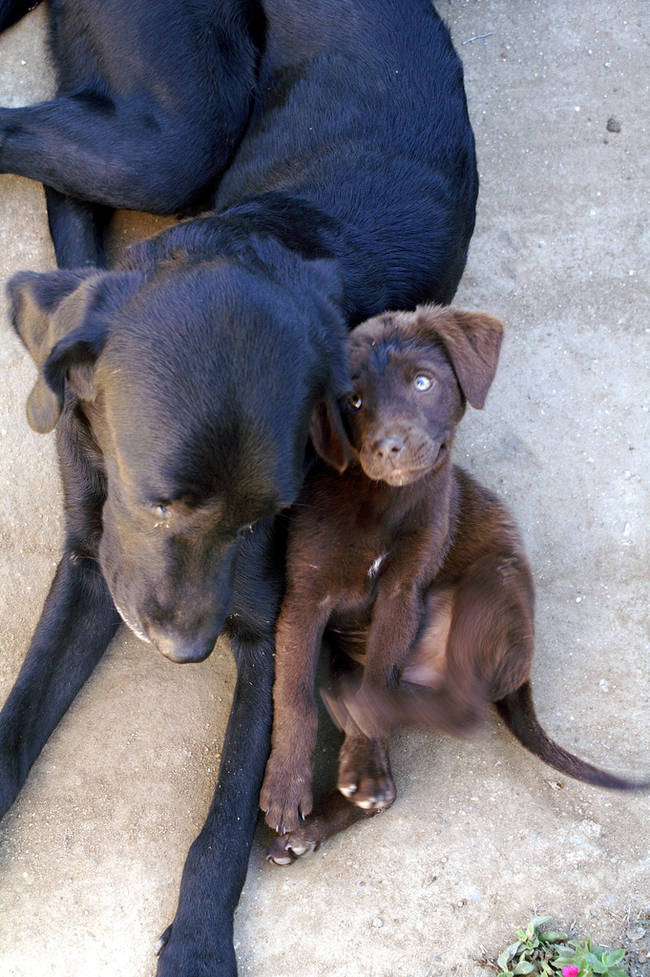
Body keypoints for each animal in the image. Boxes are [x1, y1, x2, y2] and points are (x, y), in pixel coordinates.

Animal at [0, 3, 476, 972]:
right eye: (159, 500)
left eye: (270, 514)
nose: (185, 652)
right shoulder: (91, 561)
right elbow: (20, 713)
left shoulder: (265, 626)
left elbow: (224, 821)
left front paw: (195, 942)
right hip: (178, 137)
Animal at [260, 304, 644, 848]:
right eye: (354, 400)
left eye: (423, 382)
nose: (390, 446)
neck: (379, 502)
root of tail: (522, 671)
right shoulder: (305, 594)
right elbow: (293, 694)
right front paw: (287, 788)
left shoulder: (403, 593)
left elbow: (374, 674)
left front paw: (361, 767)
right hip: (354, 653)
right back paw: (319, 818)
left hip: (490, 586)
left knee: (458, 709)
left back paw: (366, 724)